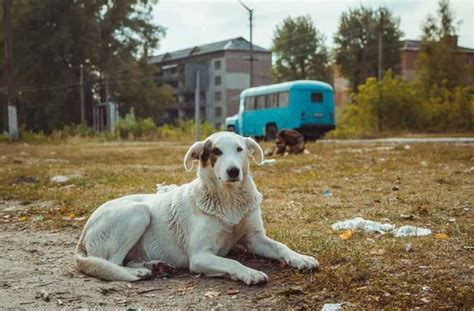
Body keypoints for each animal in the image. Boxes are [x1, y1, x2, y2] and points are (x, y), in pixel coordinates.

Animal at [75, 132, 318, 286]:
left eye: (239, 149)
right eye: (216, 151)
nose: (233, 171)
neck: (228, 200)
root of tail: (83, 235)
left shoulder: (255, 238)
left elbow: (281, 246)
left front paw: (301, 258)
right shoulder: (201, 256)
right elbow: (232, 261)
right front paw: (249, 272)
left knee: (126, 259)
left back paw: (156, 266)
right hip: (138, 213)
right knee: (113, 262)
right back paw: (139, 272)